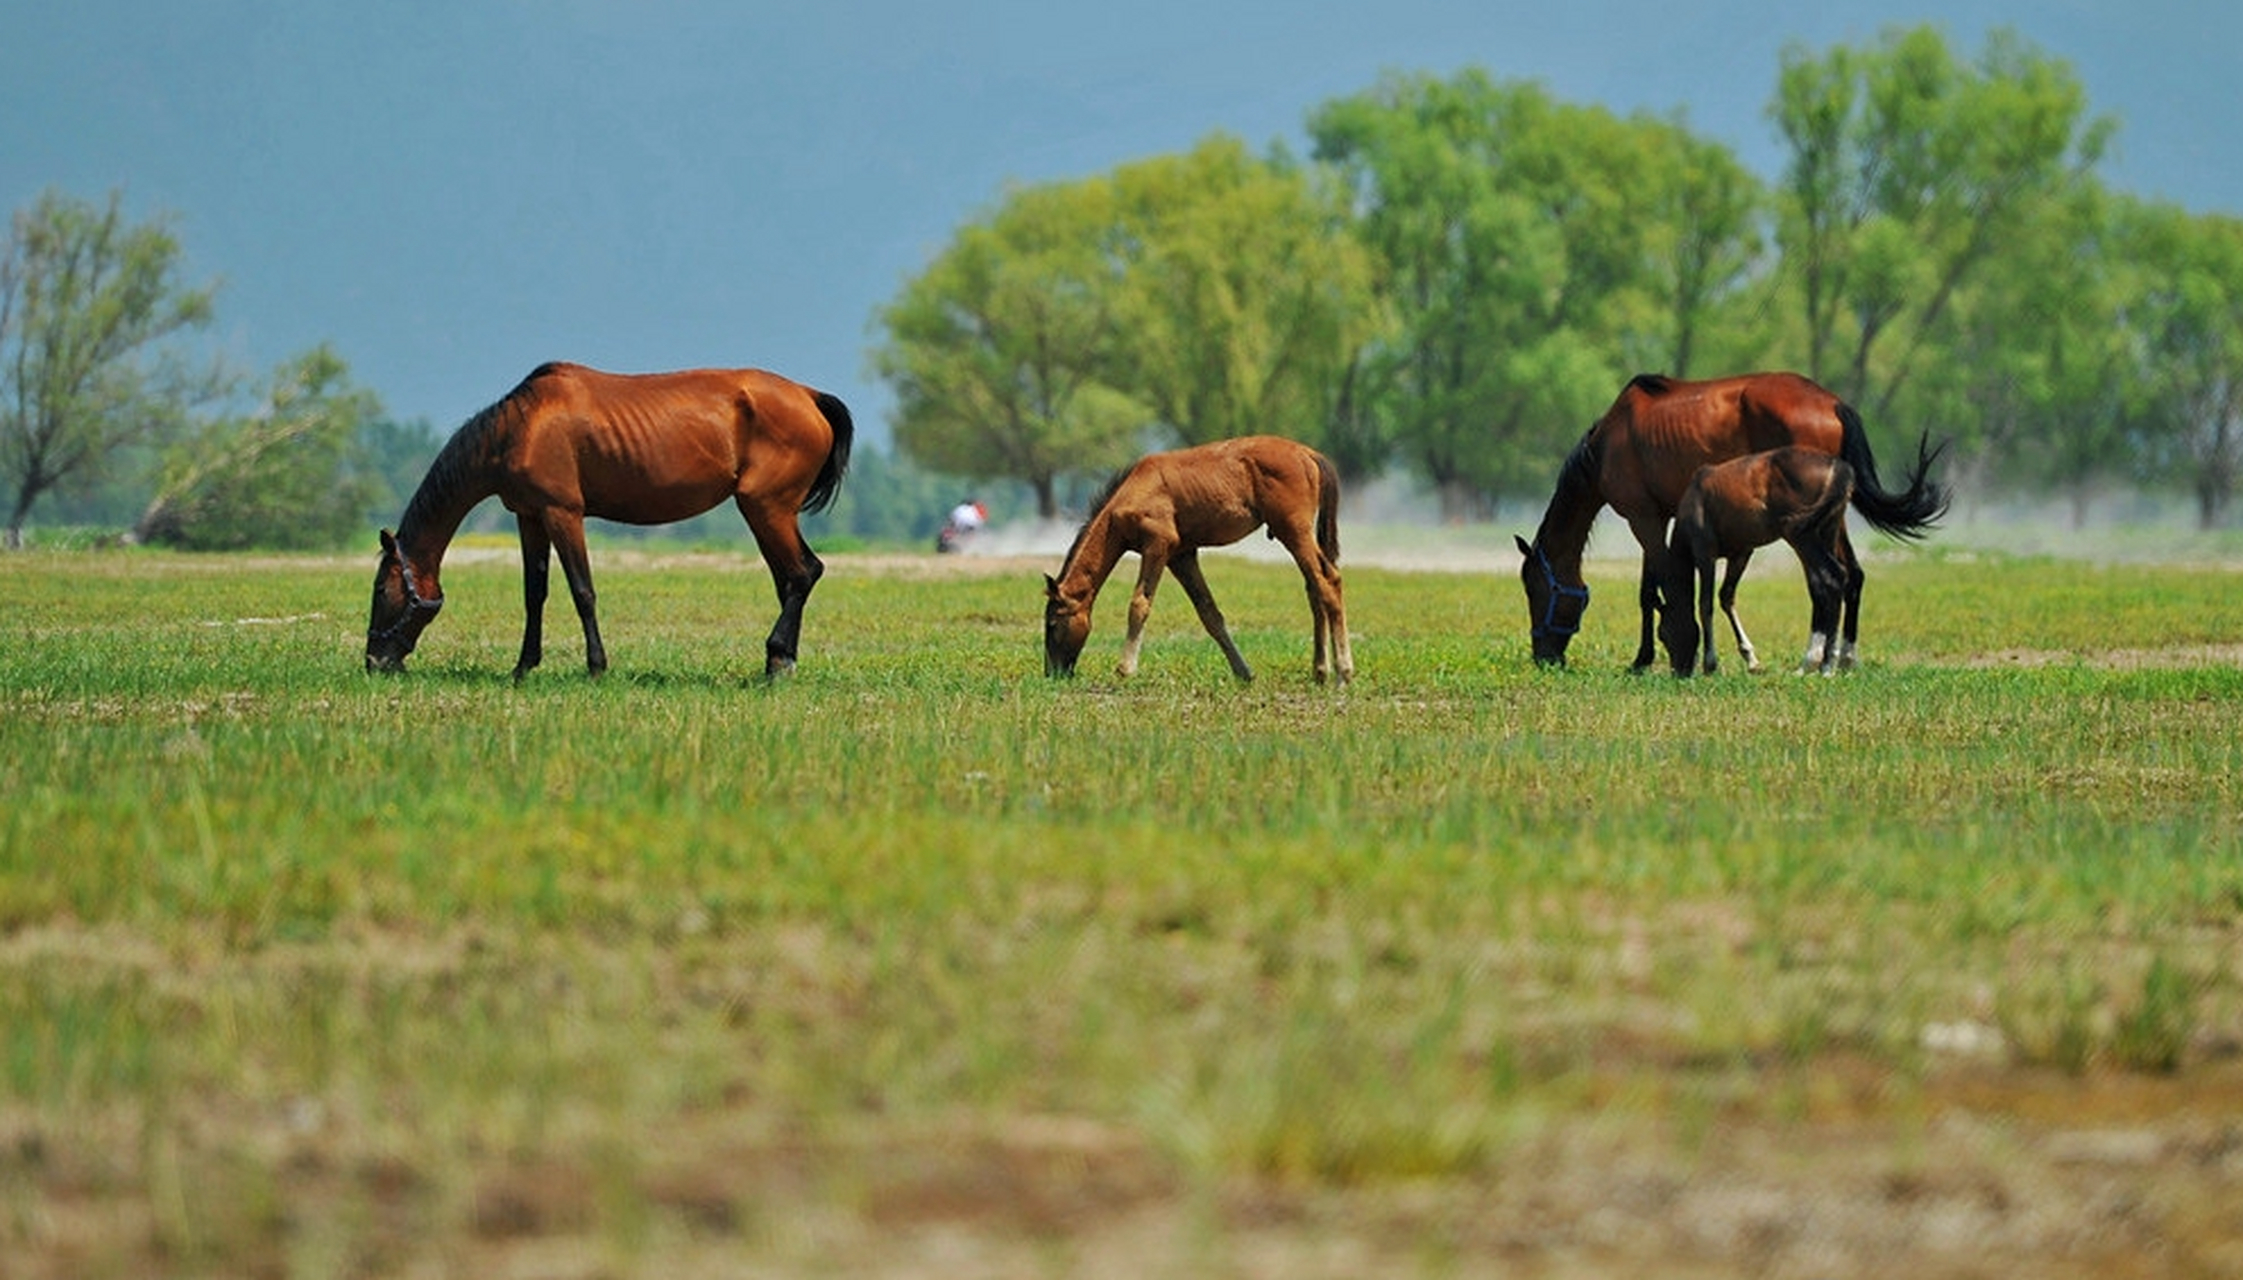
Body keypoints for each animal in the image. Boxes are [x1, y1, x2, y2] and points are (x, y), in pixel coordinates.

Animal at [363, 360, 852, 681]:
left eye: (381, 589)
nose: (374, 663)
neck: (522, 426)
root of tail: (809, 396)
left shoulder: (562, 513)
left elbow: (583, 591)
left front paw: (596, 668)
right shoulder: (530, 517)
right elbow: (534, 594)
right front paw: (523, 667)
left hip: (766, 508)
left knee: (803, 572)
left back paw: (776, 660)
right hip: (766, 512)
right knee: (790, 579)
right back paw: (780, 662)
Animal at [1036, 434, 1345, 685]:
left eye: (1052, 624)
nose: (1053, 673)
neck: (1134, 491)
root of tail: (1307, 453)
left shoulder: (1158, 547)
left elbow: (1139, 604)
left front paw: (1125, 669)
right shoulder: (1181, 557)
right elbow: (1209, 613)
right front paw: (1243, 672)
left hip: (1293, 532)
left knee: (1328, 581)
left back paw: (1343, 672)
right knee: (1314, 589)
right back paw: (1320, 671)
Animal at [1659, 446, 1866, 676]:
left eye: (1663, 633)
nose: (1679, 671)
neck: (1695, 497)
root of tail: (1838, 467)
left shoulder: (1705, 555)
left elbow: (1705, 604)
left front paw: (1710, 663)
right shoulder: (1740, 555)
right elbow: (1726, 597)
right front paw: (1750, 659)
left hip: (1802, 537)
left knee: (1832, 577)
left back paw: (1823, 664)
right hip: (1828, 531)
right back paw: (1831, 662)